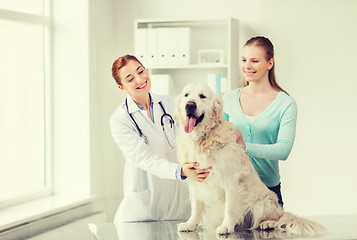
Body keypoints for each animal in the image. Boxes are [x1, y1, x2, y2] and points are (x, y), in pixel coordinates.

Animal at [175, 83, 326, 237]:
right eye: (186, 95)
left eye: (202, 96)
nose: (190, 105)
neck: (202, 138)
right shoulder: (195, 180)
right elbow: (196, 207)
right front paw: (190, 224)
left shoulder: (230, 180)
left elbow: (229, 207)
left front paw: (226, 226)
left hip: (262, 203)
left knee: (278, 218)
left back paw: (267, 223)